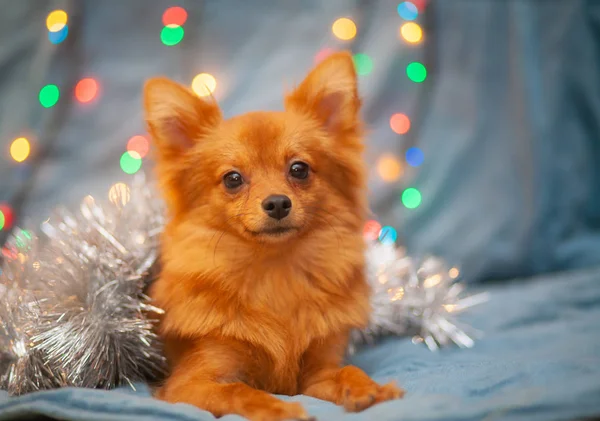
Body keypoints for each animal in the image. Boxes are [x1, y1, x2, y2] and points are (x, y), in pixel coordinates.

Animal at [143, 53, 404, 420]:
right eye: (233, 179)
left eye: (299, 169)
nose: (278, 202)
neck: (275, 273)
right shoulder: (189, 384)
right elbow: (240, 390)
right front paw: (278, 408)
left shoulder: (317, 373)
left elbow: (347, 370)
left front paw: (370, 389)